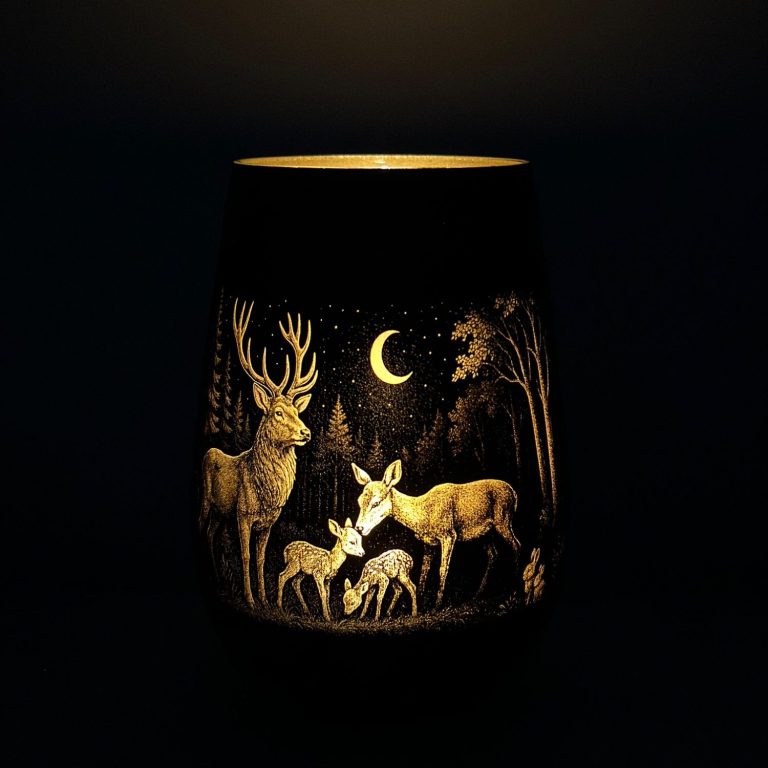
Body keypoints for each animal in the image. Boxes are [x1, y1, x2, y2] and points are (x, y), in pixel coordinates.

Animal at [200, 300, 317, 608]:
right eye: (278, 413)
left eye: (296, 410)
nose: (306, 432)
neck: (266, 493)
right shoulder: (243, 513)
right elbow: (245, 555)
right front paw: (250, 599)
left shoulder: (268, 522)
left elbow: (262, 558)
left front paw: (265, 600)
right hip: (206, 501)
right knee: (203, 527)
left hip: (221, 512)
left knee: (211, 533)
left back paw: (217, 576)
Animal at [352, 459, 520, 609]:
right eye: (359, 501)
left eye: (376, 503)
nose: (359, 528)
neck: (423, 515)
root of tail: (514, 493)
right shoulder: (428, 542)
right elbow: (424, 570)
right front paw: (419, 603)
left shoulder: (448, 534)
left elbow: (442, 568)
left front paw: (437, 605)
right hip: (484, 534)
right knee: (493, 554)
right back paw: (477, 595)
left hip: (503, 520)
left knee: (516, 545)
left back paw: (516, 589)